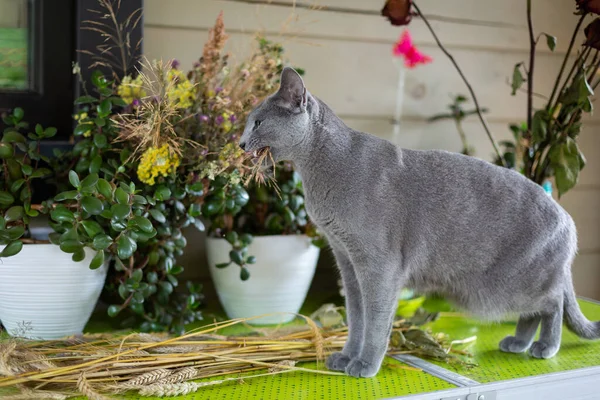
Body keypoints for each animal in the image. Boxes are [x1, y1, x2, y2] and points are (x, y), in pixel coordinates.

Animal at [238, 67, 600, 376]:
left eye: (257, 123)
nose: (240, 143)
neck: (321, 169)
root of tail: (566, 218)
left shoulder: (379, 266)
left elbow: (375, 320)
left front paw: (365, 364)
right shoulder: (347, 261)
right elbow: (356, 317)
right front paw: (346, 357)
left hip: (507, 284)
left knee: (553, 303)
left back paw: (545, 346)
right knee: (538, 309)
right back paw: (519, 342)